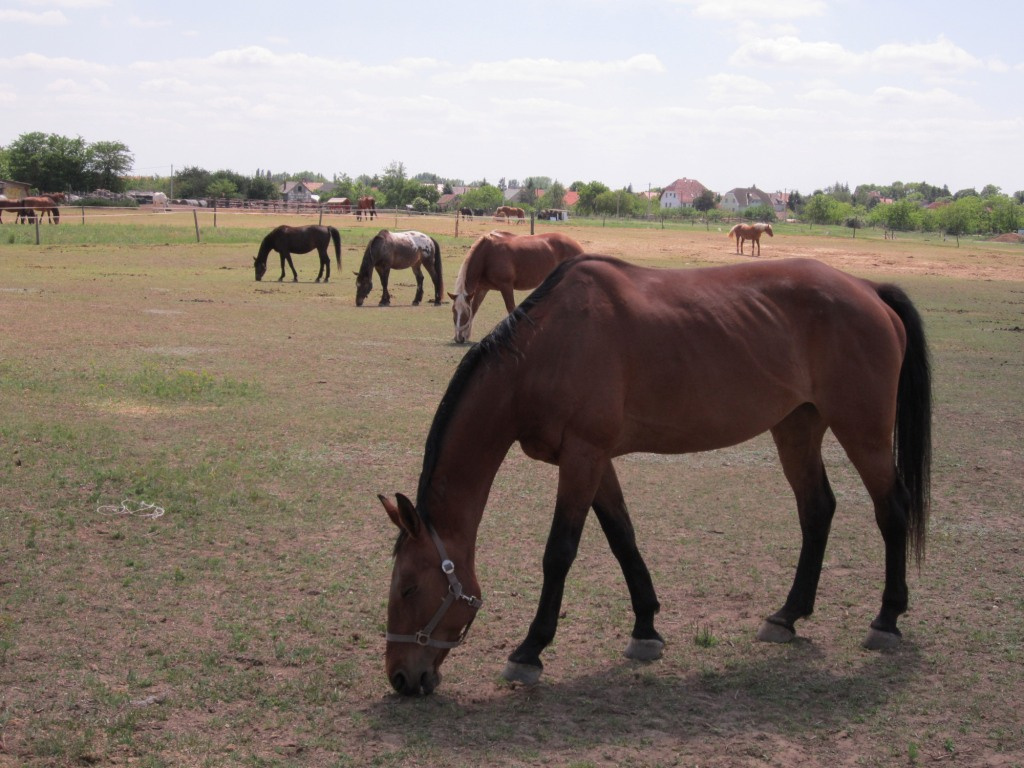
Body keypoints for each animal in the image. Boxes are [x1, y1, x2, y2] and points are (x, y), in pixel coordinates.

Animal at [448, 230, 585, 344]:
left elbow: (511, 308)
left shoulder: (506, 286)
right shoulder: (482, 288)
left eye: (465, 313)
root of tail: (577, 245)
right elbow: (475, 307)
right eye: (454, 311)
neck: (487, 253)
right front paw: (467, 334)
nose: (458, 338)